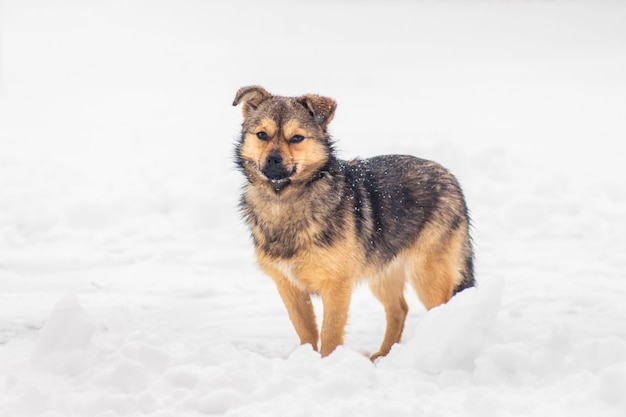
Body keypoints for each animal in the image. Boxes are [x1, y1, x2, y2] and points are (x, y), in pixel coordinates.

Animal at [233, 86, 472, 360]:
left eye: (296, 138)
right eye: (262, 135)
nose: (273, 159)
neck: (284, 200)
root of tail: (449, 176)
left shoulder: (337, 284)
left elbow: (329, 334)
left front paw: (327, 364)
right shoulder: (288, 286)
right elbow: (305, 332)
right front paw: (306, 360)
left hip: (427, 275)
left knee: (442, 309)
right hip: (383, 272)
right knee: (399, 309)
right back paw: (384, 355)